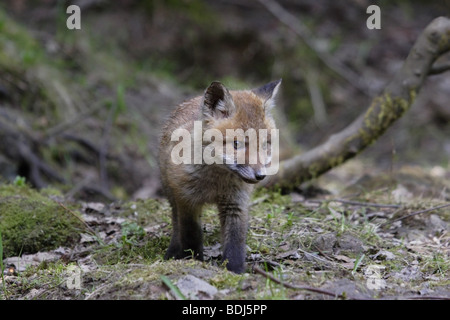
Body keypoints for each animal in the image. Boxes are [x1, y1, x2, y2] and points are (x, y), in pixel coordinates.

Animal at [159, 79, 282, 272]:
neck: (216, 182)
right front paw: (193, 260)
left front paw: (235, 271)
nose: (260, 176)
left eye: (265, 145)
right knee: (176, 225)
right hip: (172, 195)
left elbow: (235, 243)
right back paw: (173, 252)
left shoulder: (236, 203)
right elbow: (191, 236)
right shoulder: (187, 200)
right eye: (237, 144)